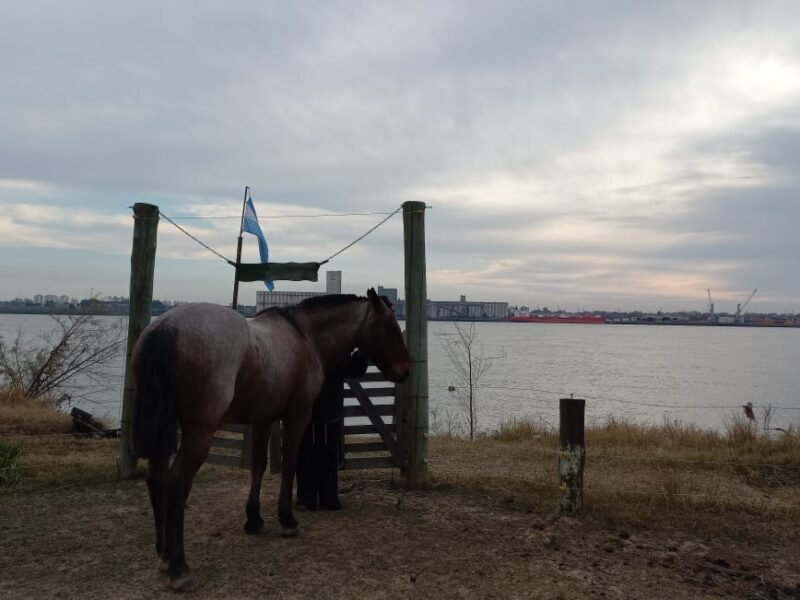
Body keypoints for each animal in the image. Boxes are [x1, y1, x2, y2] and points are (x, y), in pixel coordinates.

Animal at [132, 290, 410, 592]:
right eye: (391, 326)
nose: (405, 370)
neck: (305, 336)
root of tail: (166, 325)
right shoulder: (298, 415)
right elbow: (289, 464)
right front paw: (287, 519)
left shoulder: (262, 418)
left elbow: (258, 466)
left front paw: (253, 519)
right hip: (199, 431)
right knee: (177, 482)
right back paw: (178, 566)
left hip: (163, 425)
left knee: (157, 479)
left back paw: (163, 554)